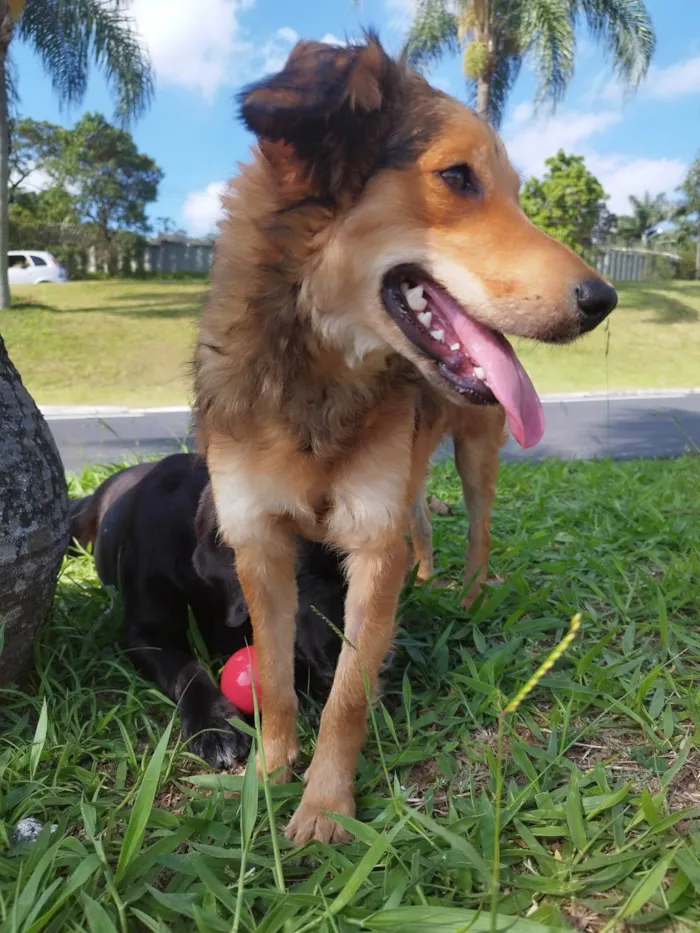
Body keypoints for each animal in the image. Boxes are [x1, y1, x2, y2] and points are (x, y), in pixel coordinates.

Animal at [194, 34, 616, 844]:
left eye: (516, 191)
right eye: (456, 177)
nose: (604, 300)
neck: (319, 379)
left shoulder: (369, 536)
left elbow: (347, 693)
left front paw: (326, 807)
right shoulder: (259, 539)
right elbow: (274, 676)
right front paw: (269, 774)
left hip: (476, 453)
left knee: (479, 526)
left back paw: (470, 595)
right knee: (420, 518)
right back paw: (426, 573)